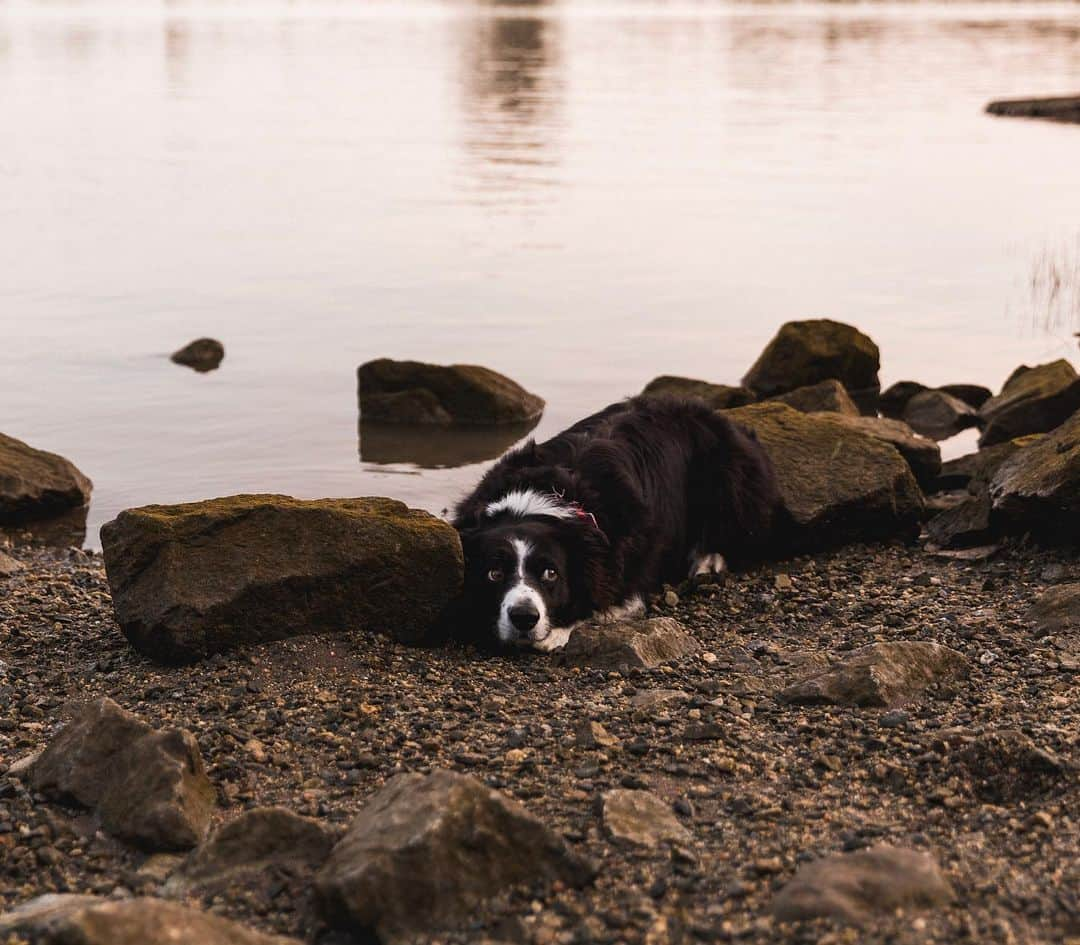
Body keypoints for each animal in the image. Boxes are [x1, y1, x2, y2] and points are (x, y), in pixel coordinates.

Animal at [451, 397, 781, 652]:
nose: (524, 617)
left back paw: (707, 560)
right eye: (494, 573)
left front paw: (555, 633)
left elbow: (602, 597)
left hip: (733, 481)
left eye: (550, 573)